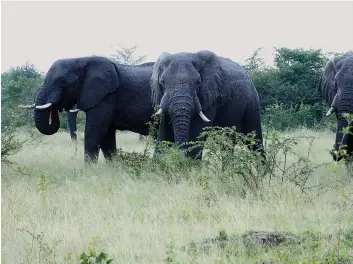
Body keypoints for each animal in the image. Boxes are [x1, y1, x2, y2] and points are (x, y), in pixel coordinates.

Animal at [18, 56, 154, 163]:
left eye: (62, 81)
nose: (57, 106)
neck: (81, 60)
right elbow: (107, 136)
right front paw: (113, 168)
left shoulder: (106, 96)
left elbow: (94, 132)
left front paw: (89, 170)